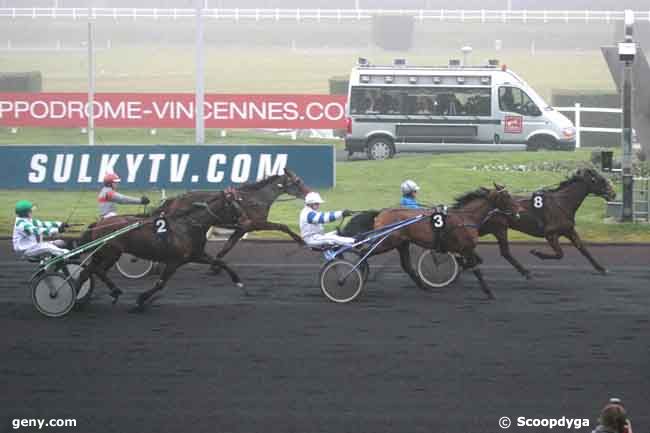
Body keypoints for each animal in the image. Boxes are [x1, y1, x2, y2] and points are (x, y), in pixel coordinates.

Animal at [480, 167, 612, 276]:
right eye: (601, 180)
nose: (613, 193)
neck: (561, 203)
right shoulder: (550, 234)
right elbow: (560, 254)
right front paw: (537, 252)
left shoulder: (569, 231)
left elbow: (583, 249)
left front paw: (601, 268)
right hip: (498, 228)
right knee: (504, 252)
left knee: (504, 252)